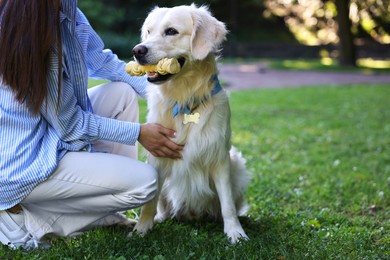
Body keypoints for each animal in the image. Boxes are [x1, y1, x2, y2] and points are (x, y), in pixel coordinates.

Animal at [132, 4, 250, 244]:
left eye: (171, 31)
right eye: (148, 31)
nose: (137, 50)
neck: (184, 100)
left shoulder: (219, 156)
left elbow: (227, 204)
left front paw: (235, 232)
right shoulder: (157, 155)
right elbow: (149, 202)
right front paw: (142, 229)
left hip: (236, 162)